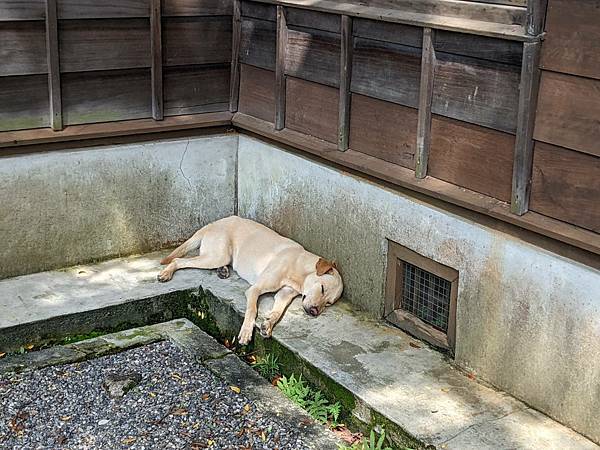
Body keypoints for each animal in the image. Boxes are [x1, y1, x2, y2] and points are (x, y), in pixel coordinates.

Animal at [157, 217, 344, 344]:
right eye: (321, 288)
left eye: (328, 303)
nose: (314, 312)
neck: (299, 268)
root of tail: (214, 223)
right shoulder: (255, 289)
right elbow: (252, 309)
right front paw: (246, 331)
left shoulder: (284, 295)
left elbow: (277, 313)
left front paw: (268, 324)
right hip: (216, 256)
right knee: (179, 260)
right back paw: (166, 273)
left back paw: (223, 271)